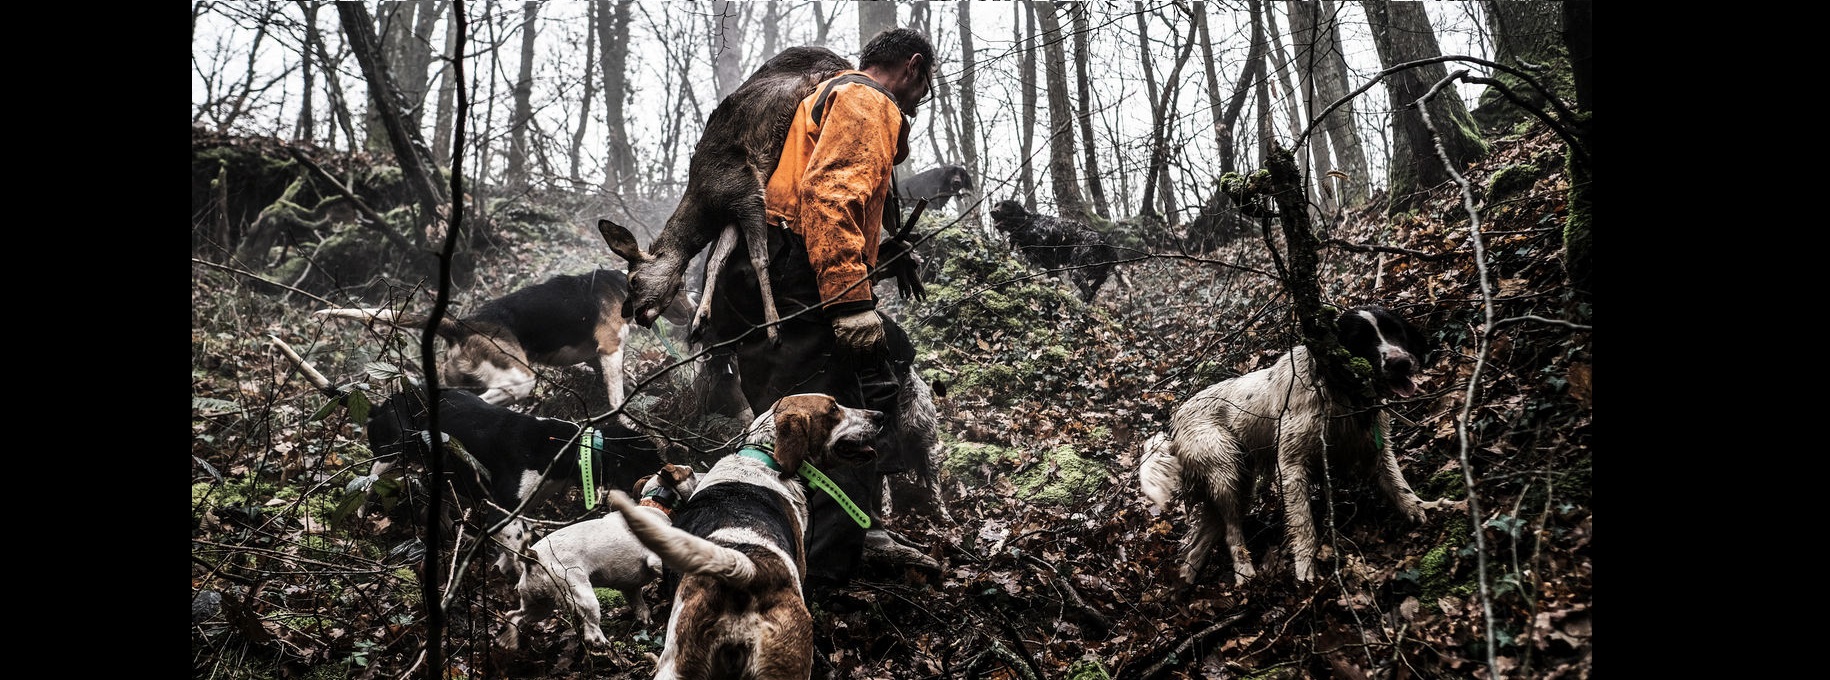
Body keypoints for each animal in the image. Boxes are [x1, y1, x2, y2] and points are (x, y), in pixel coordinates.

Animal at [494, 462, 699, 654]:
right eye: (691, 473)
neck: (656, 506)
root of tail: (532, 559)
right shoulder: (656, 560)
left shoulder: (630, 587)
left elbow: (640, 606)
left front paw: (646, 621)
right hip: (582, 596)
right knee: (591, 629)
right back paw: (604, 646)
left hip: (539, 605)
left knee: (514, 616)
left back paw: (507, 642)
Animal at [1134, 303, 1449, 584]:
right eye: (1361, 340)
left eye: (1396, 332)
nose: (1401, 362)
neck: (1337, 391)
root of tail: (1174, 424)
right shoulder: (1291, 465)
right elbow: (1303, 522)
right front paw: (1305, 567)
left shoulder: (1375, 447)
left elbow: (1399, 484)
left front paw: (1421, 508)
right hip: (1227, 473)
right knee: (1232, 531)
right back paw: (1244, 573)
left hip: (1234, 481)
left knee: (1201, 543)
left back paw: (1186, 586)